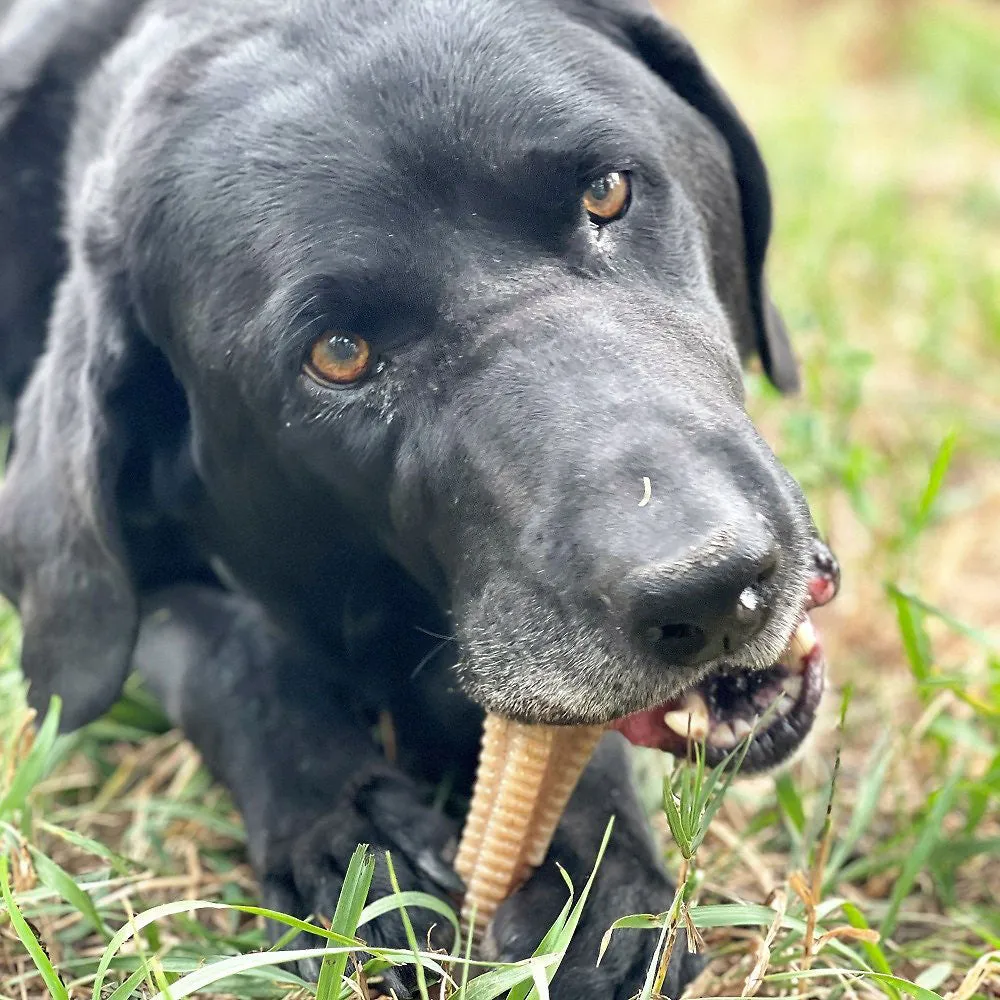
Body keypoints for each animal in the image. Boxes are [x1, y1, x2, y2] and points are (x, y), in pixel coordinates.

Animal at [0, 0, 836, 992]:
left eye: (606, 194)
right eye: (339, 354)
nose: (711, 592)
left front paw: (595, 878)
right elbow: (224, 645)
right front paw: (354, 837)